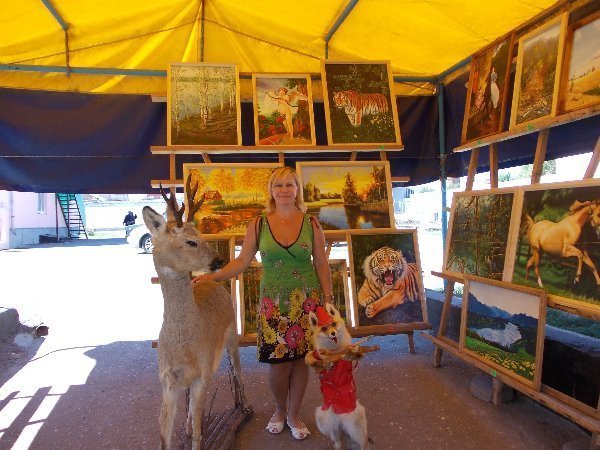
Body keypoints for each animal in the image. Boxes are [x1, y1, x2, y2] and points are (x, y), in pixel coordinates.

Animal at [142, 176, 250, 450]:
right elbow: (164, 436)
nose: (219, 260)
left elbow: (200, 434)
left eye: (201, 235)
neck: (184, 347)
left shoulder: (203, 373)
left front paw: (196, 433)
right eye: (190, 241)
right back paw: (189, 424)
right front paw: (186, 429)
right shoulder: (168, 381)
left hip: (231, 335)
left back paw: (245, 407)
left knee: (237, 370)